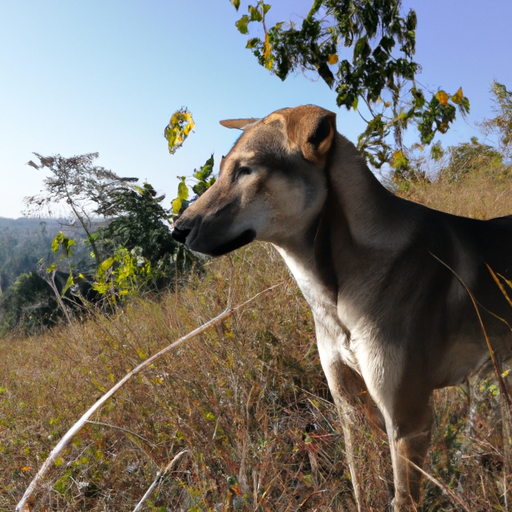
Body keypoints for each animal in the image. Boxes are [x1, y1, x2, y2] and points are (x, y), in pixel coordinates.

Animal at [172, 105, 512, 512]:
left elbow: (401, 498)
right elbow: (361, 486)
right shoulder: (352, 413)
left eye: (246, 170)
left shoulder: (408, 423)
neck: (333, 292)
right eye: (222, 168)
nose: (177, 230)